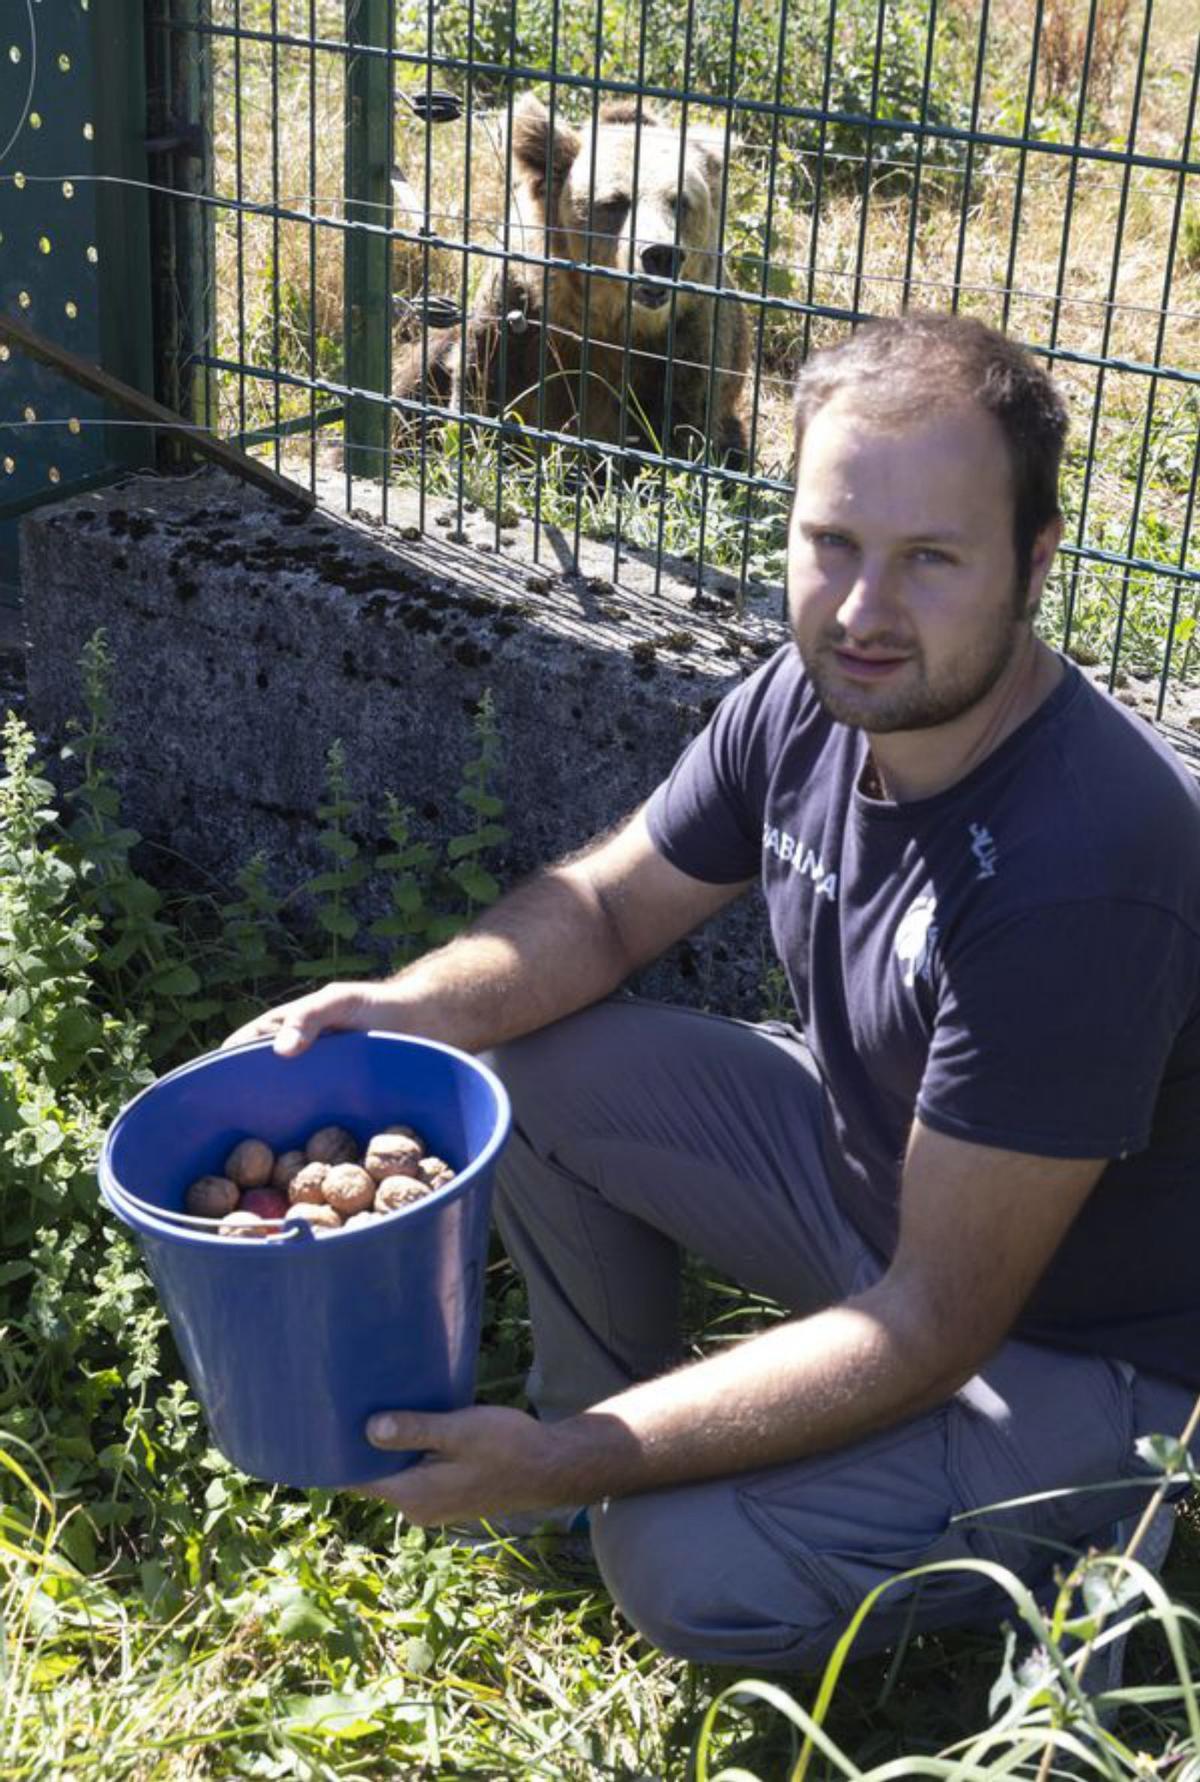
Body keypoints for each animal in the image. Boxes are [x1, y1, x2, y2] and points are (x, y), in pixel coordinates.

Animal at [397, 97, 745, 466]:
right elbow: (483, 392)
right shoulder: (519, 312)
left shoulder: (684, 342)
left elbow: (674, 432)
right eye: (615, 202)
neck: (606, 322)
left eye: (680, 201)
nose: (660, 254)